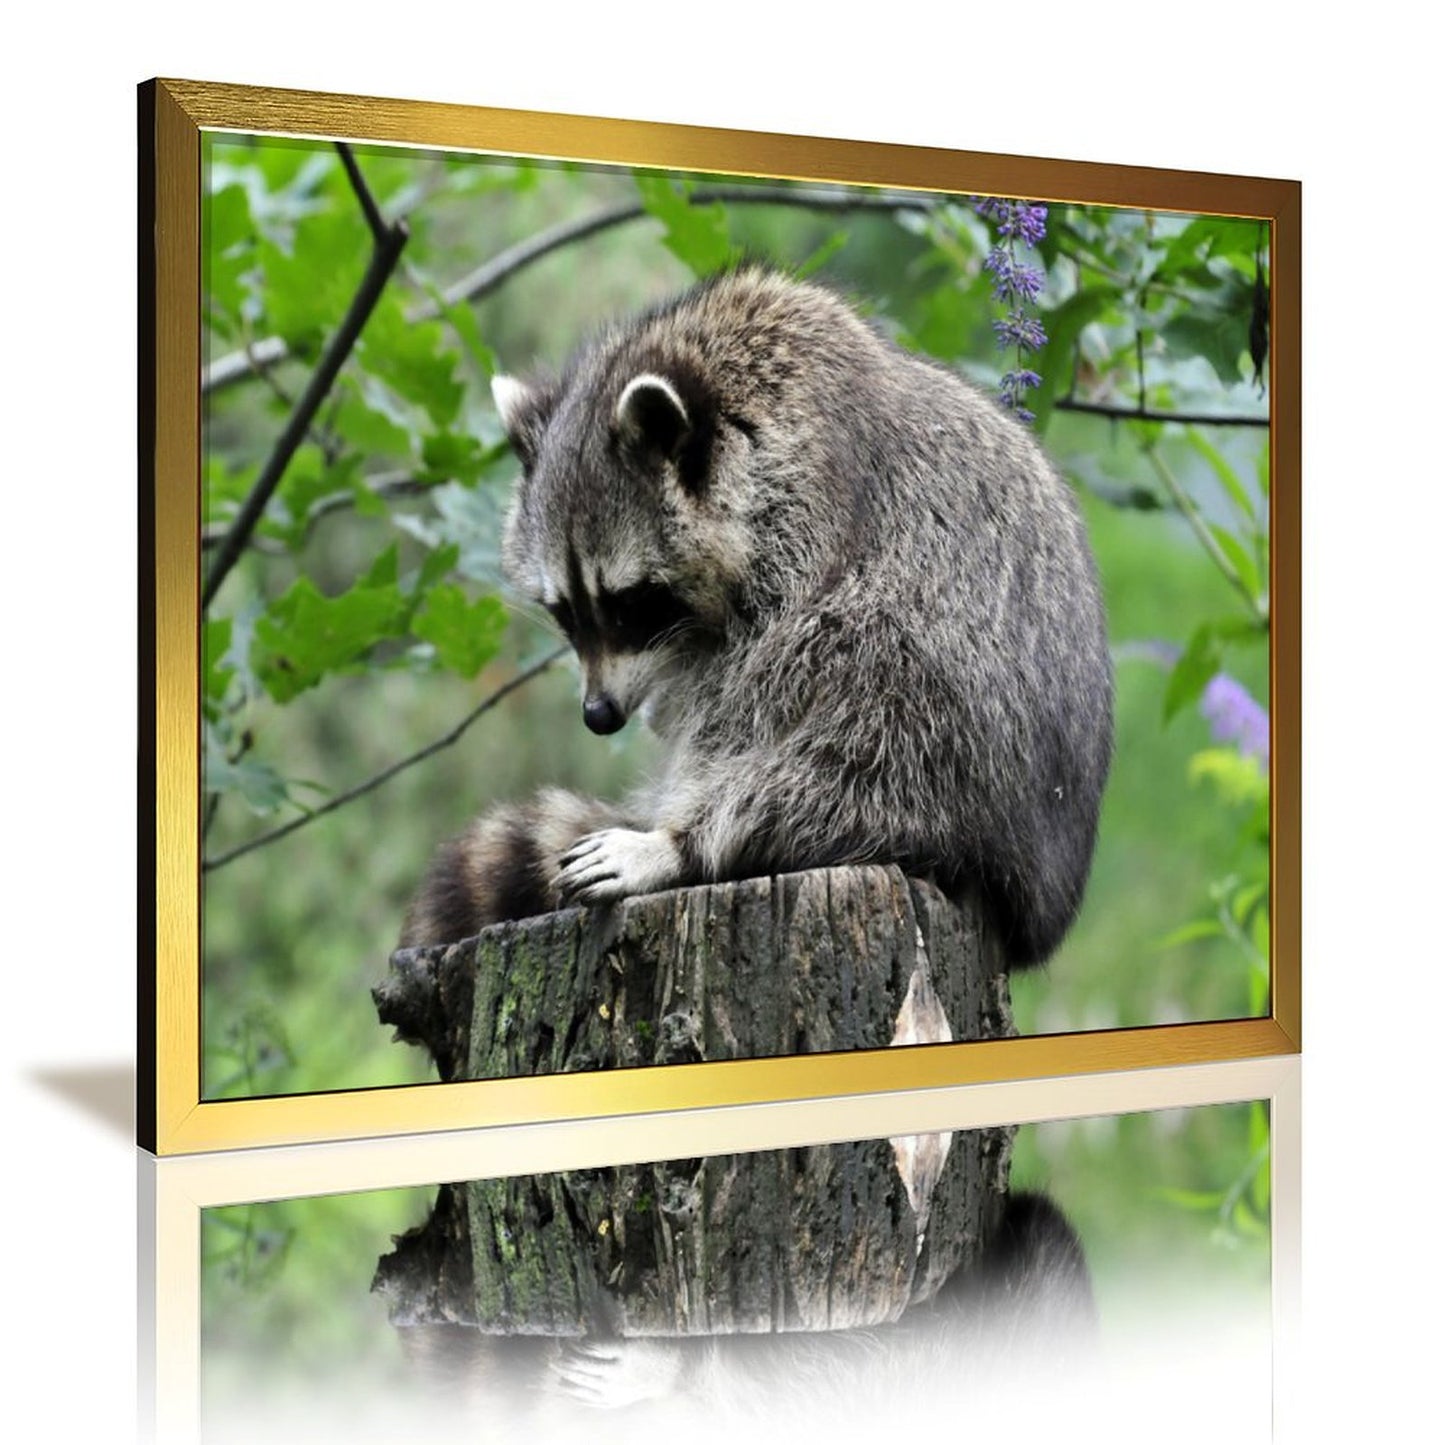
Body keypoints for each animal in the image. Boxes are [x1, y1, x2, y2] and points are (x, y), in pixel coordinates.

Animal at [401, 268, 1113, 968]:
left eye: (631, 603)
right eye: (564, 611)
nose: (598, 715)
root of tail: (1041, 900)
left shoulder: (813, 515)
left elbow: (752, 695)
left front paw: (682, 837)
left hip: (954, 729)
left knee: (868, 706)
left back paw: (694, 842)